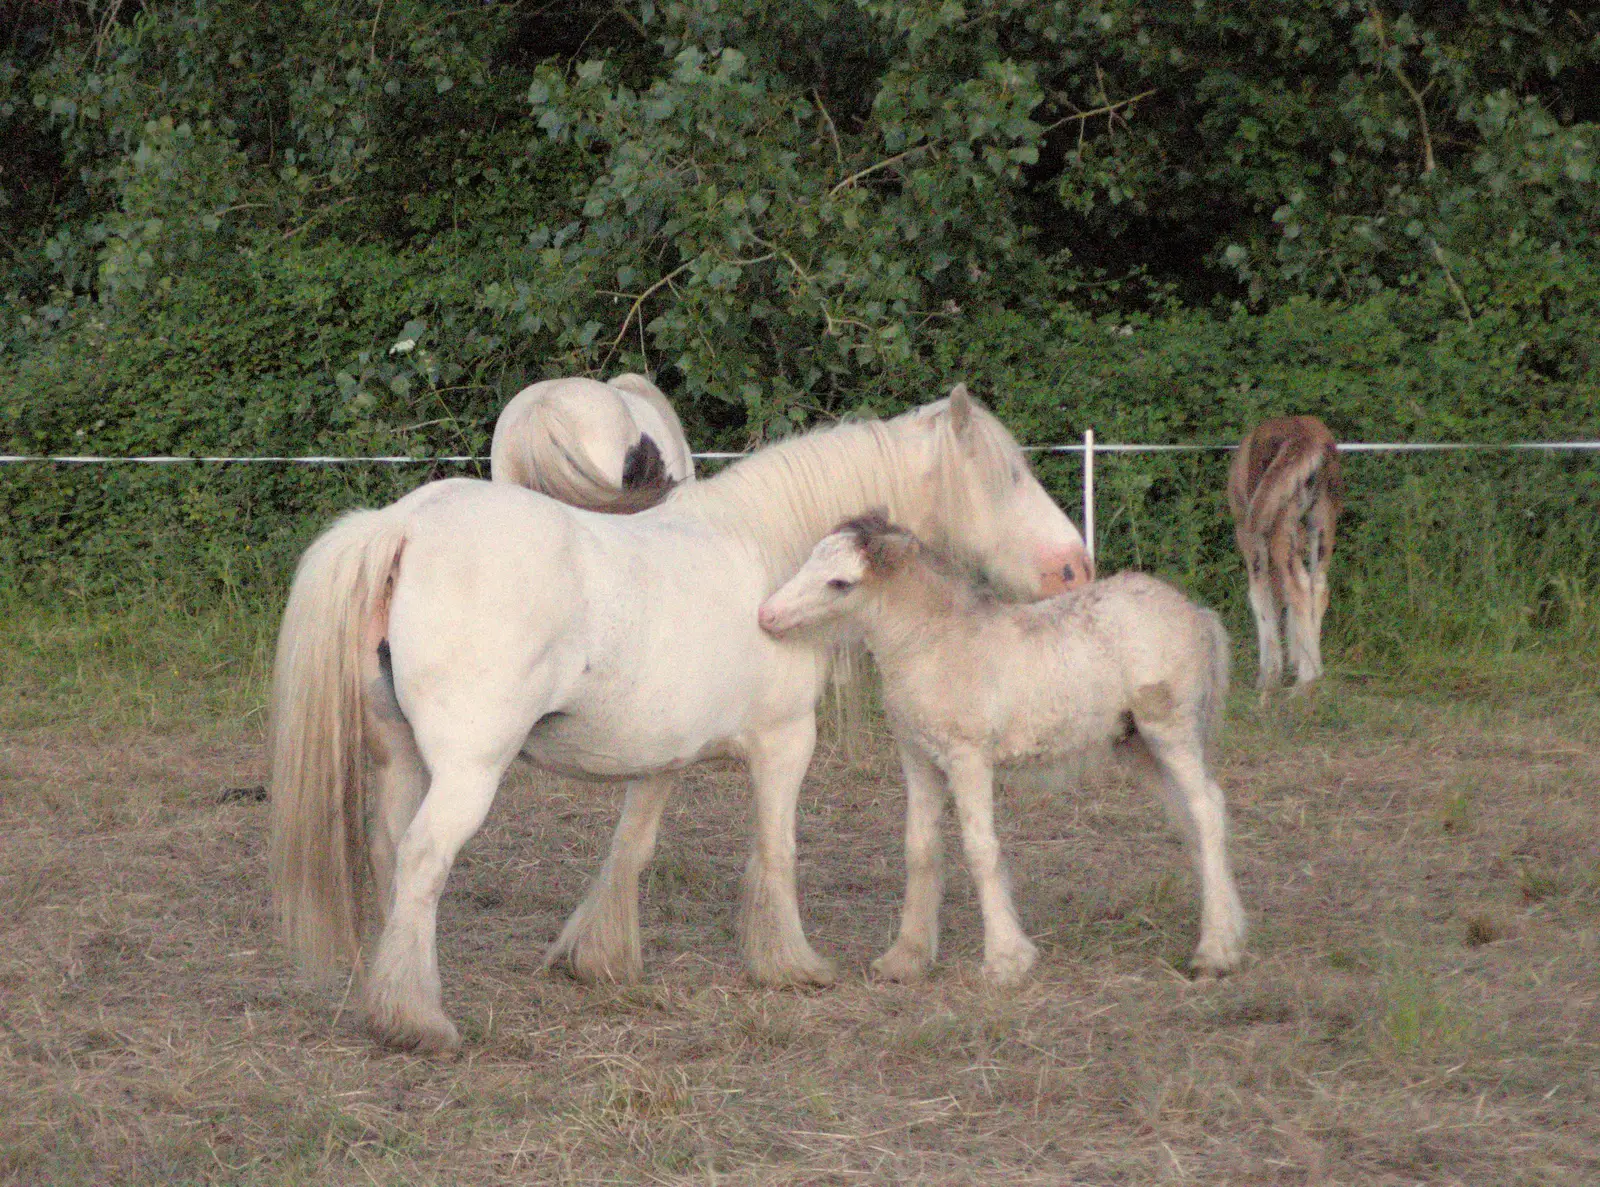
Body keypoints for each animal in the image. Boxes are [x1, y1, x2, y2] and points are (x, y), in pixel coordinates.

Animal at [761, 515, 1248, 991]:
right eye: (810, 559)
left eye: (840, 582)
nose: (767, 616)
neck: (934, 645)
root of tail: (1196, 612)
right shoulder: (919, 760)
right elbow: (919, 847)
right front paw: (905, 959)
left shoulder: (968, 758)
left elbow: (980, 849)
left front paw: (1006, 960)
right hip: (1137, 745)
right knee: (1189, 817)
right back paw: (1229, 931)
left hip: (1170, 730)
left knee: (1207, 809)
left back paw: (1214, 953)